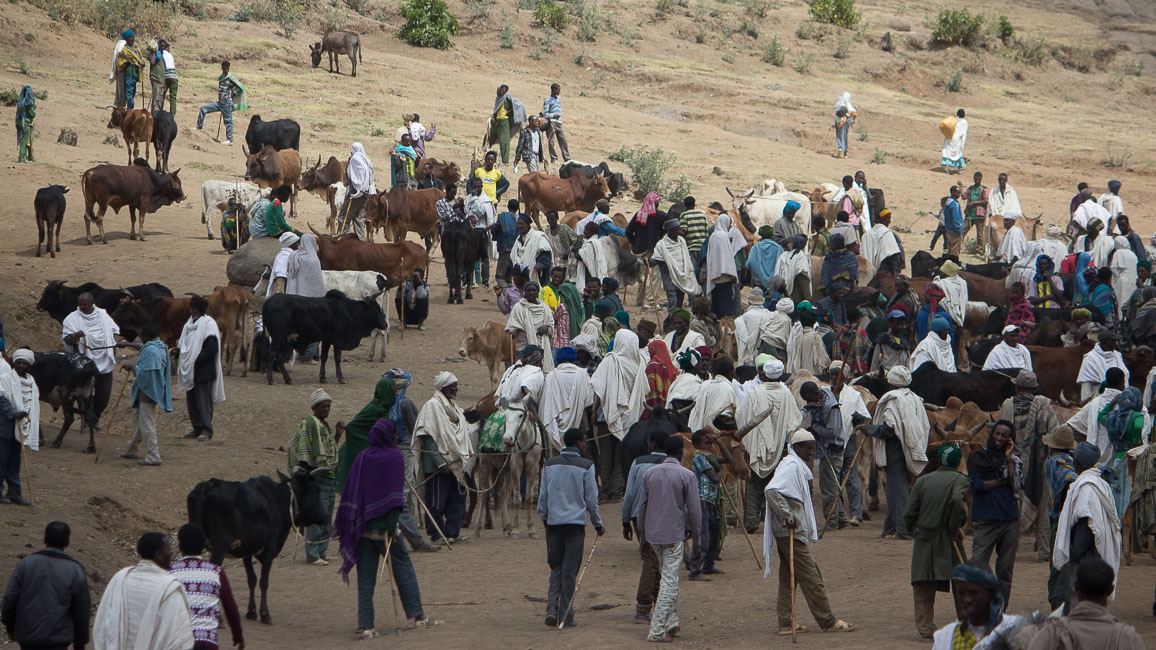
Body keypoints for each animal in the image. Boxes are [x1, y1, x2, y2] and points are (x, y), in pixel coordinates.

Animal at [186, 469, 328, 624]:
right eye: (317, 490)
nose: (325, 517)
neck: (279, 500)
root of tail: (205, 488)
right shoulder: (269, 549)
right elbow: (264, 581)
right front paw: (265, 614)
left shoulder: (247, 550)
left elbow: (252, 579)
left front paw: (252, 611)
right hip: (219, 546)